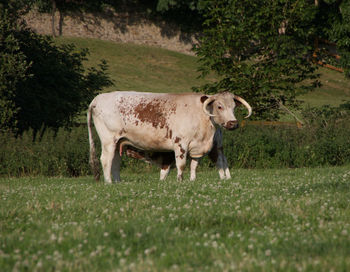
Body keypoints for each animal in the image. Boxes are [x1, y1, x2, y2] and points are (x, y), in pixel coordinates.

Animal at [87, 91, 252, 183]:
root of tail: (97, 99)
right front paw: (180, 181)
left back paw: (118, 182)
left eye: (234, 107)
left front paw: (192, 181)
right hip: (108, 140)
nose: (233, 123)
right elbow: (182, 164)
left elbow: (194, 165)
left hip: (118, 142)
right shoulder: (180, 144)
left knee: (115, 161)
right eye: (219, 106)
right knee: (106, 160)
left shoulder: (197, 147)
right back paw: (108, 182)